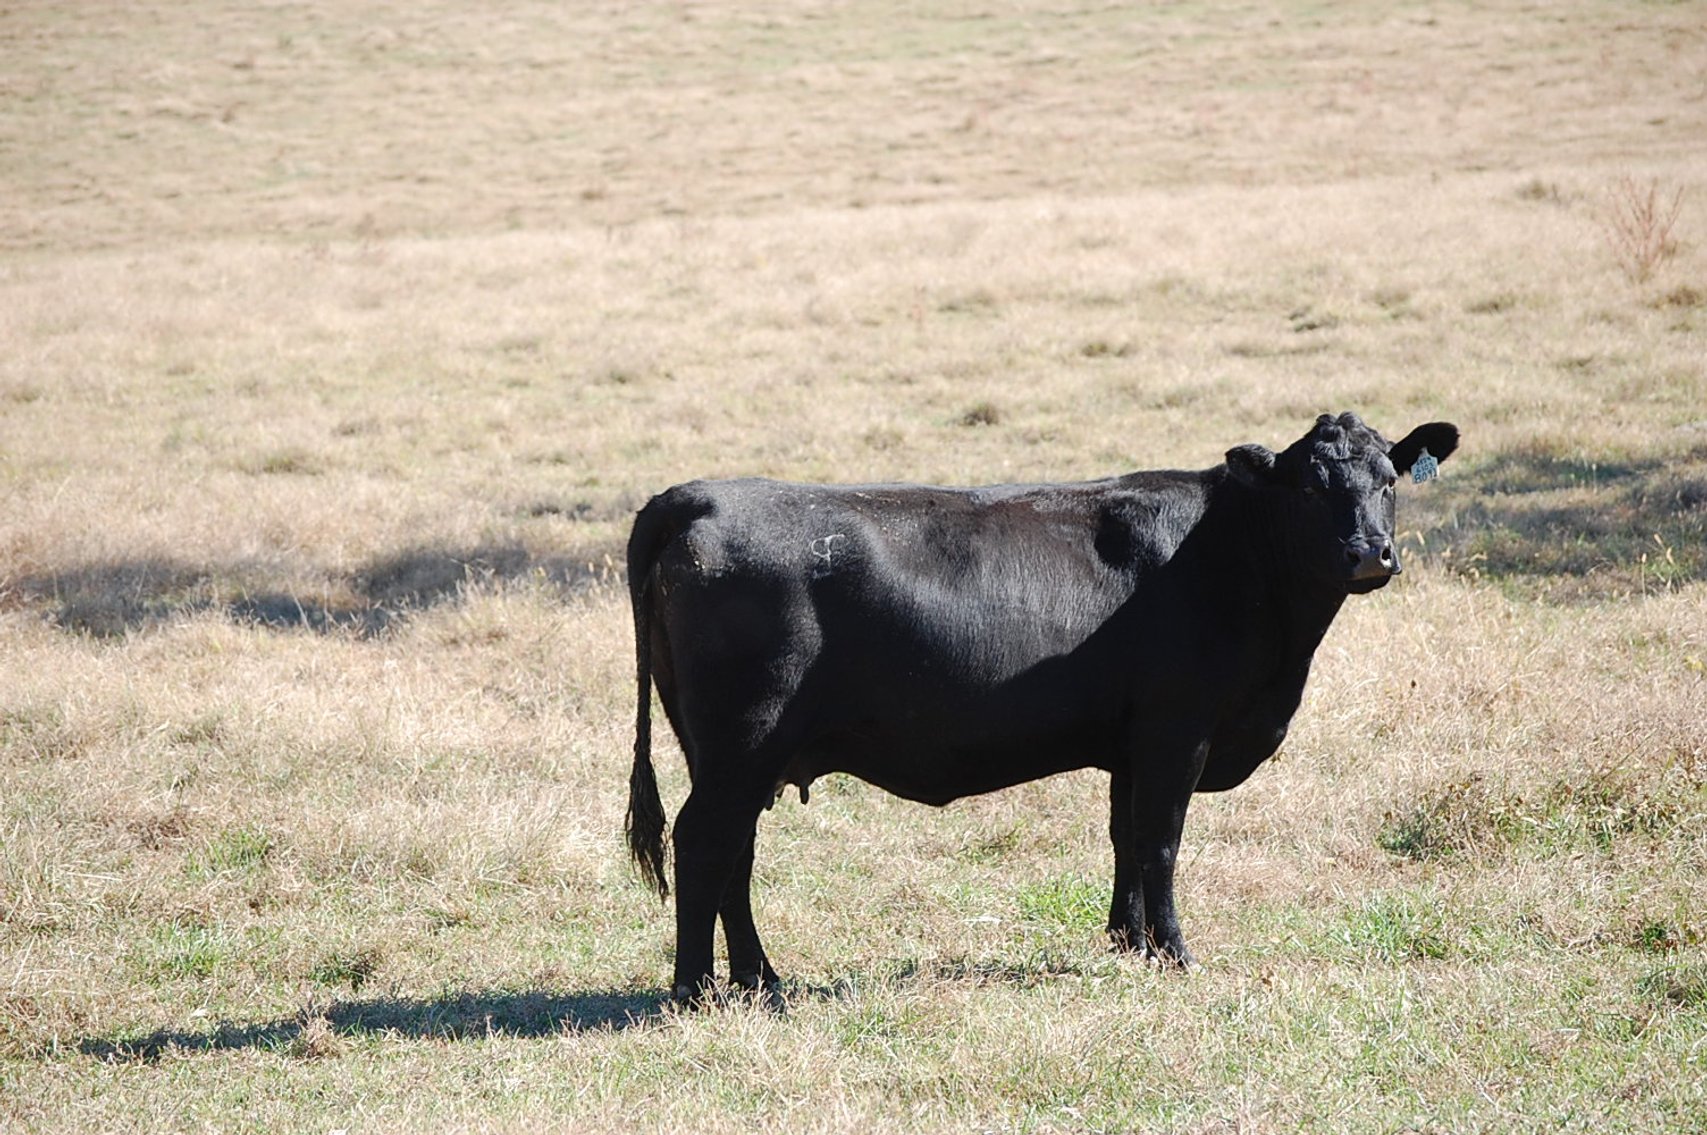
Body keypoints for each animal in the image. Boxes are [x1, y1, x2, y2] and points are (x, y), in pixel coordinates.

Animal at [625, 412, 1459, 1002]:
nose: (1369, 554)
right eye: (1311, 486)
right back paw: (695, 987)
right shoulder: (1176, 730)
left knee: (734, 853)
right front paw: (1174, 951)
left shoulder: (1130, 743)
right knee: (703, 843)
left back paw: (759, 979)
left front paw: (1129, 942)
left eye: (1388, 480)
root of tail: (696, 495)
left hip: (733, 754)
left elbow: (1124, 838)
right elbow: (1160, 841)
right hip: (742, 744)